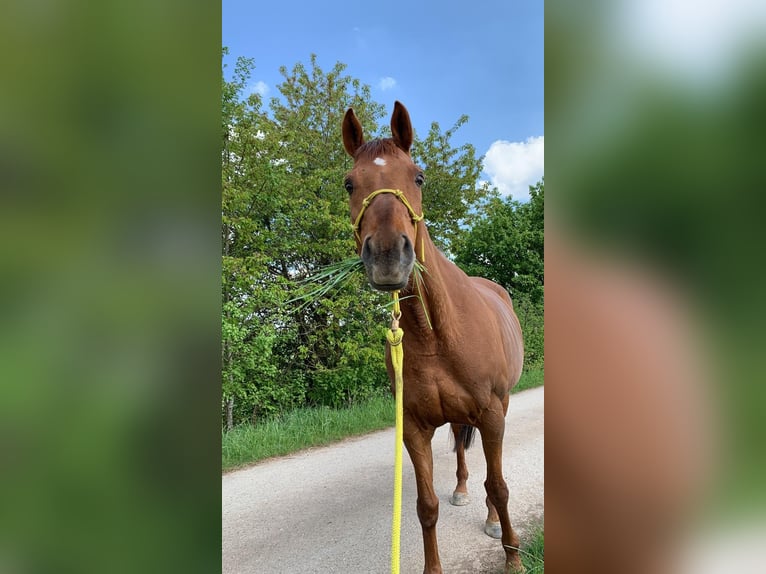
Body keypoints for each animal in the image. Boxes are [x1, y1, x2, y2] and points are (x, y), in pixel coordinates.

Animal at [344, 103, 528, 574]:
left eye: (419, 177)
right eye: (349, 183)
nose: (388, 256)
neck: (436, 336)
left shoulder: (493, 413)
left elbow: (500, 485)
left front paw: (513, 556)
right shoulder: (413, 428)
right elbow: (426, 506)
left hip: (500, 406)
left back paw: (491, 518)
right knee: (463, 449)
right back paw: (463, 490)